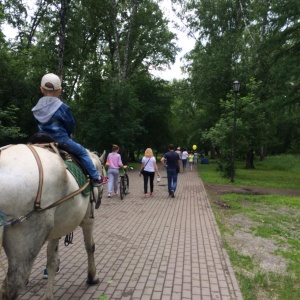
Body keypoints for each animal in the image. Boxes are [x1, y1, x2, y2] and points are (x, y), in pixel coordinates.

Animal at [0, 144, 106, 298]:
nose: (98, 203)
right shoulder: (88, 220)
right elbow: (90, 246)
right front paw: (92, 277)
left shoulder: (56, 230)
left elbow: (52, 260)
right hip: (27, 241)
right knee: (12, 286)